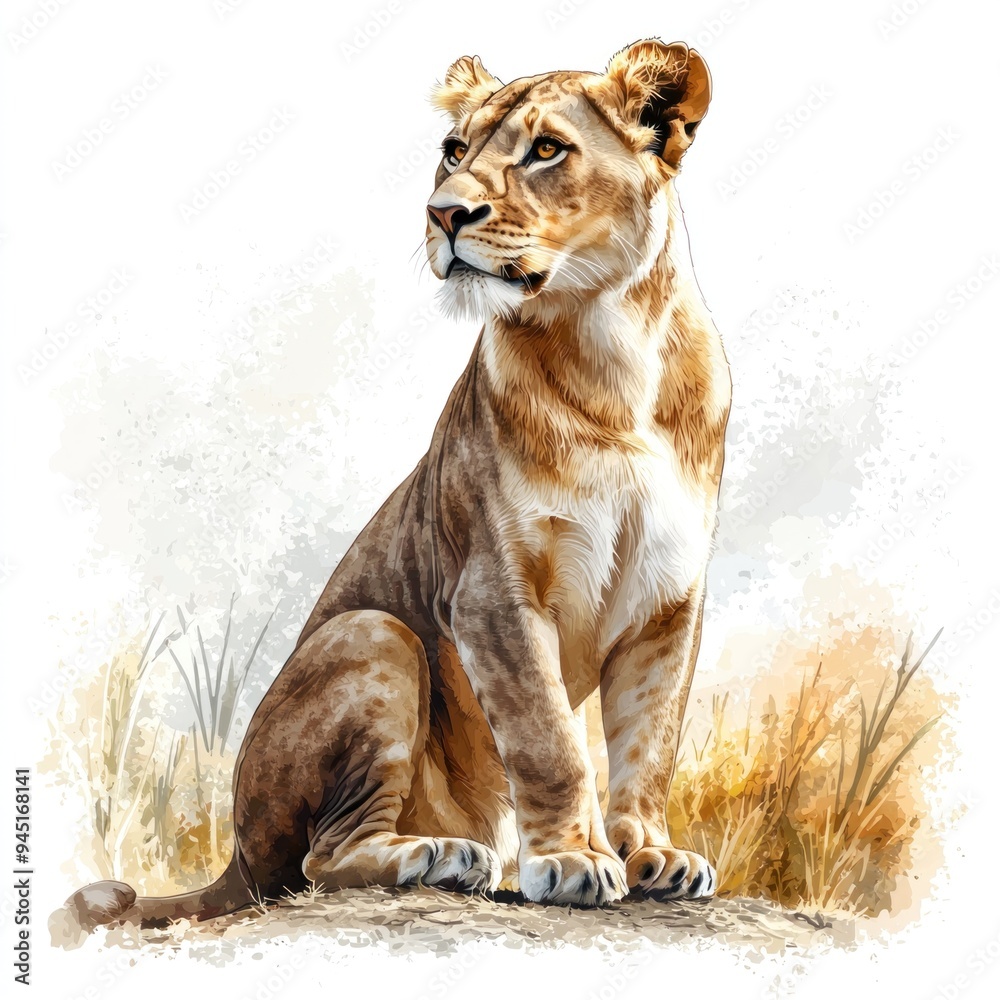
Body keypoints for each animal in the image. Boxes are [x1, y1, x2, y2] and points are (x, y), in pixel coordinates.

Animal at [63, 37, 731, 931]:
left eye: (546, 150)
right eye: (454, 150)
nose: (444, 213)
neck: (612, 345)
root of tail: (234, 851)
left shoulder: (668, 603)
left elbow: (649, 740)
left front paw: (653, 854)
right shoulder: (491, 592)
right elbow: (551, 740)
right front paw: (572, 862)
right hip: (376, 633)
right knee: (319, 860)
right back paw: (442, 857)